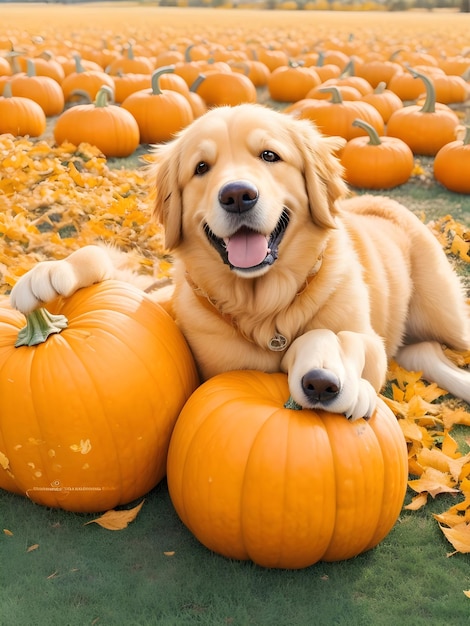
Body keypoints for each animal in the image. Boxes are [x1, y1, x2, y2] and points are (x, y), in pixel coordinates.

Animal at [10, 103, 470, 420]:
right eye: (201, 167)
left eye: (269, 156)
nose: (237, 195)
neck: (262, 306)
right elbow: (115, 273)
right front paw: (48, 273)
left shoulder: (365, 334)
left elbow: (350, 341)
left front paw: (339, 378)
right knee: (423, 352)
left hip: (449, 316)